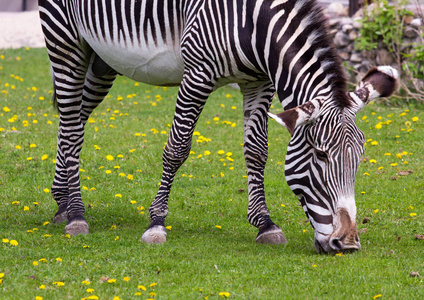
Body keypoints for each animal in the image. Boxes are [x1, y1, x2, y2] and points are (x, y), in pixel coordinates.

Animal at [38, 0, 400, 253]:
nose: (348, 244)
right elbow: (177, 147)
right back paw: (76, 214)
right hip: (65, 40)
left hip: (101, 60)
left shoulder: (259, 82)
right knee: (72, 124)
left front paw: (265, 224)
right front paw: (156, 223)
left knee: (74, 120)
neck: (255, 25)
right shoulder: (197, 75)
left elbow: (257, 151)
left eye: (359, 159)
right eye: (321, 156)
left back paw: (62, 201)